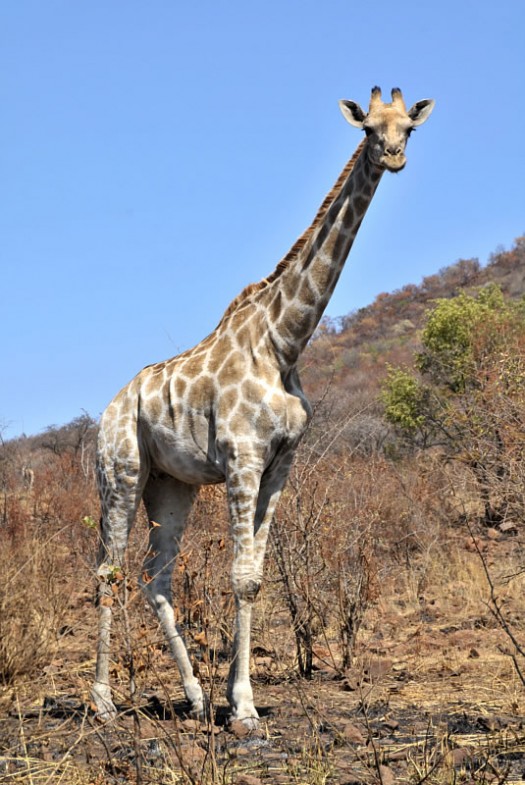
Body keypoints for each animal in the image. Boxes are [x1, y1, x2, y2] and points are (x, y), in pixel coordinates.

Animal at [91, 87, 434, 727]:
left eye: (409, 128)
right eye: (369, 128)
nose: (395, 156)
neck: (283, 341)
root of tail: (108, 409)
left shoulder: (279, 464)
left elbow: (256, 577)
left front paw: (231, 697)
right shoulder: (243, 458)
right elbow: (241, 577)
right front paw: (246, 709)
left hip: (172, 485)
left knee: (156, 577)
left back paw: (195, 697)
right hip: (121, 472)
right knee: (109, 569)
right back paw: (101, 701)